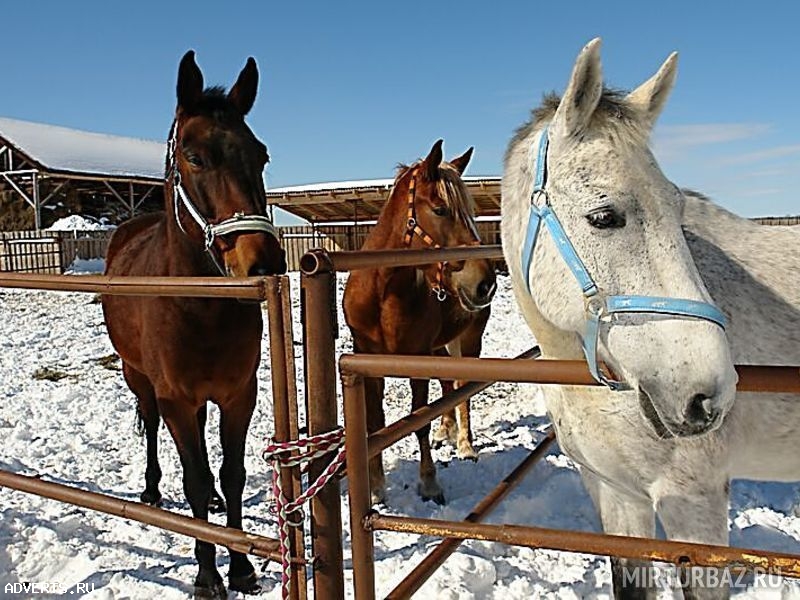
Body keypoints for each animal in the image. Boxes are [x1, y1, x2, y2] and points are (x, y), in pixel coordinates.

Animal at [101, 52, 284, 600]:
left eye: (261, 155)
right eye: (194, 157)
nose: (263, 262)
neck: (200, 306)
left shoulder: (238, 394)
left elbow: (230, 474)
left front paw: (241, 566)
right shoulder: (176, 397)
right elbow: (197, 480)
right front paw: (207, 575)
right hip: (139, 379)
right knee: (153, 429)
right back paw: (151, 490)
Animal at [342, 138, 496, 504]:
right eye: (440, 209)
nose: (485, 283)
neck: (381, 295)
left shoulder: (416, 362)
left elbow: (419, 421)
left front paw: (429, 483)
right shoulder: (367, 364)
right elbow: (375, 424)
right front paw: (376, 487)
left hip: (468, 341)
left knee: (463, 389)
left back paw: (465, 445)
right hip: (440, 348)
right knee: (448, 385)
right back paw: (446, 432)